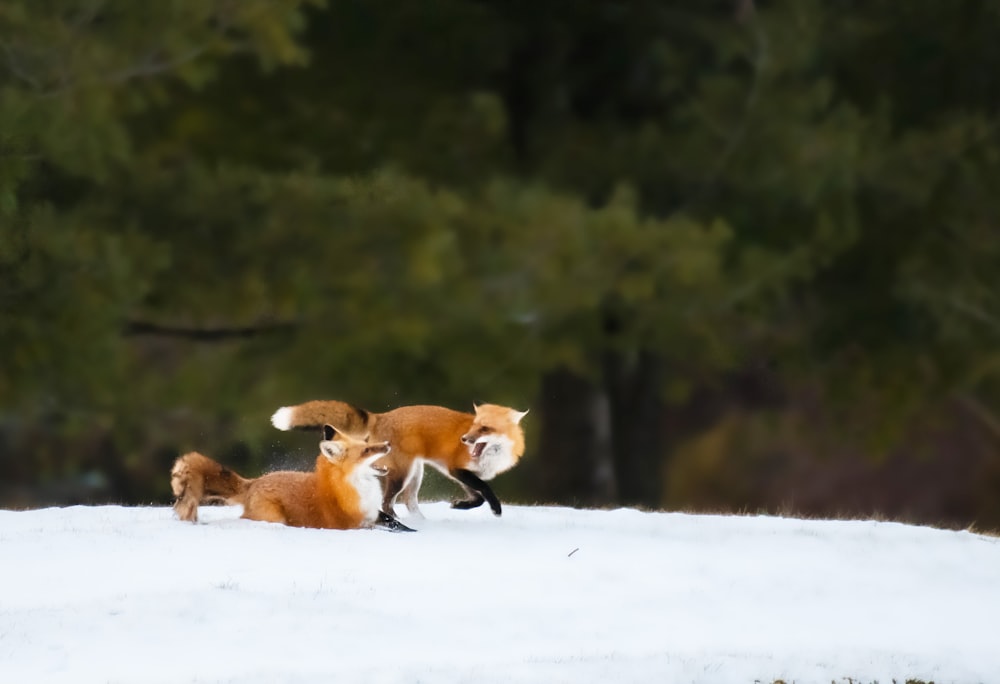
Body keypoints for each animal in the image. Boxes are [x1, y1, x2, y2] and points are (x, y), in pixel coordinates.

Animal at [170, 424, 412, 532]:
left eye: (366, 444)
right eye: (366, 450)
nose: (387, 444)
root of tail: (254, 482)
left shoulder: (376, 513)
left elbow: (396, 522)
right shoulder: (356, 525)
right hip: (274, 518)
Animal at [270, 400, 528, 520]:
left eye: (484, 428)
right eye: (474, 426)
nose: (464, 439)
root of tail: (381, 416)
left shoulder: (462, 474)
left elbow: (478, 497)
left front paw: (460, 505)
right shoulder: (456, 469)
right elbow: (485, 490)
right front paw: (496, 508)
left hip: (415, 475)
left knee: (407, 502)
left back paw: (421, 522)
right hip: (404, 474)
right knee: (388, 503)